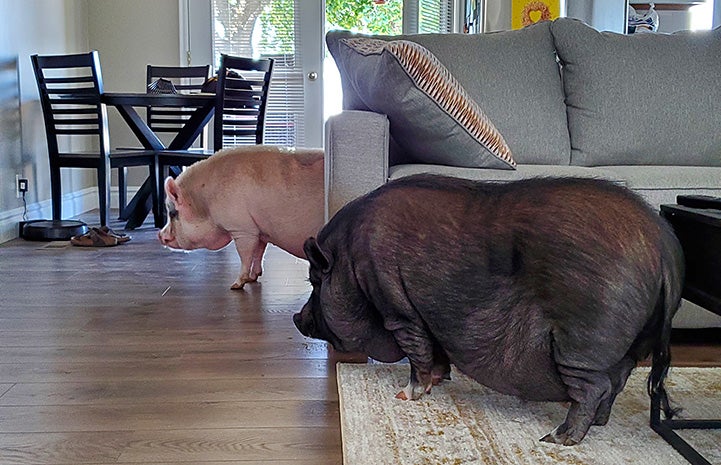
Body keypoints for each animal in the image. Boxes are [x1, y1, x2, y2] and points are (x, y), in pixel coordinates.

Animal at [158, 146, 324, 290]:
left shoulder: (242, 228)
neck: (207, 204)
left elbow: (245, 254)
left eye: (172, 213)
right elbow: (259, 252)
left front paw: (235, 285)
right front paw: (253, 278)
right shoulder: (259, 229)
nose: (159, 235)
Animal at [294, 174, 684, 445]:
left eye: (315, 280)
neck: (350, 263)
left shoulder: (397, 307)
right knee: (619, 379)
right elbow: (436, 351)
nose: (298, 318)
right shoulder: (427, 317)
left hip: (583, 341)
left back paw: (557, 438)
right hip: (629, 344)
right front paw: (438, 382)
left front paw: (406, 395)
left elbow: (416, 350)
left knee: (597, 386)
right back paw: (598, 424)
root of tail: (665, 249)